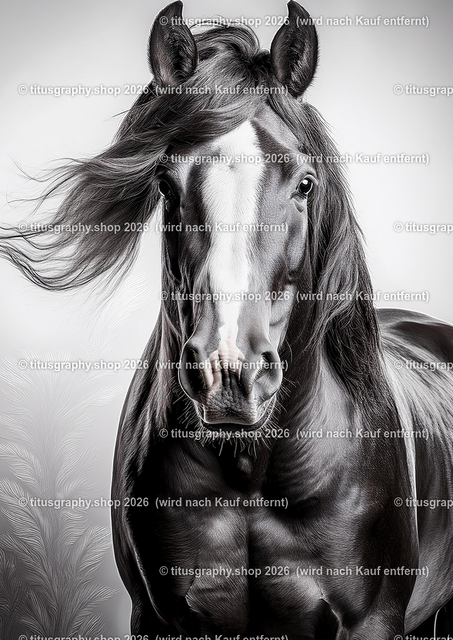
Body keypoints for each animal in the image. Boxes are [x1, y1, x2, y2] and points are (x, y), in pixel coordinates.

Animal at [2, 1, 453, 638]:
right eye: (166, 184)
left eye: (305, 182)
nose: (229, 372)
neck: (252, 472)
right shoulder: (159, 620)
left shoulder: (372, 622)